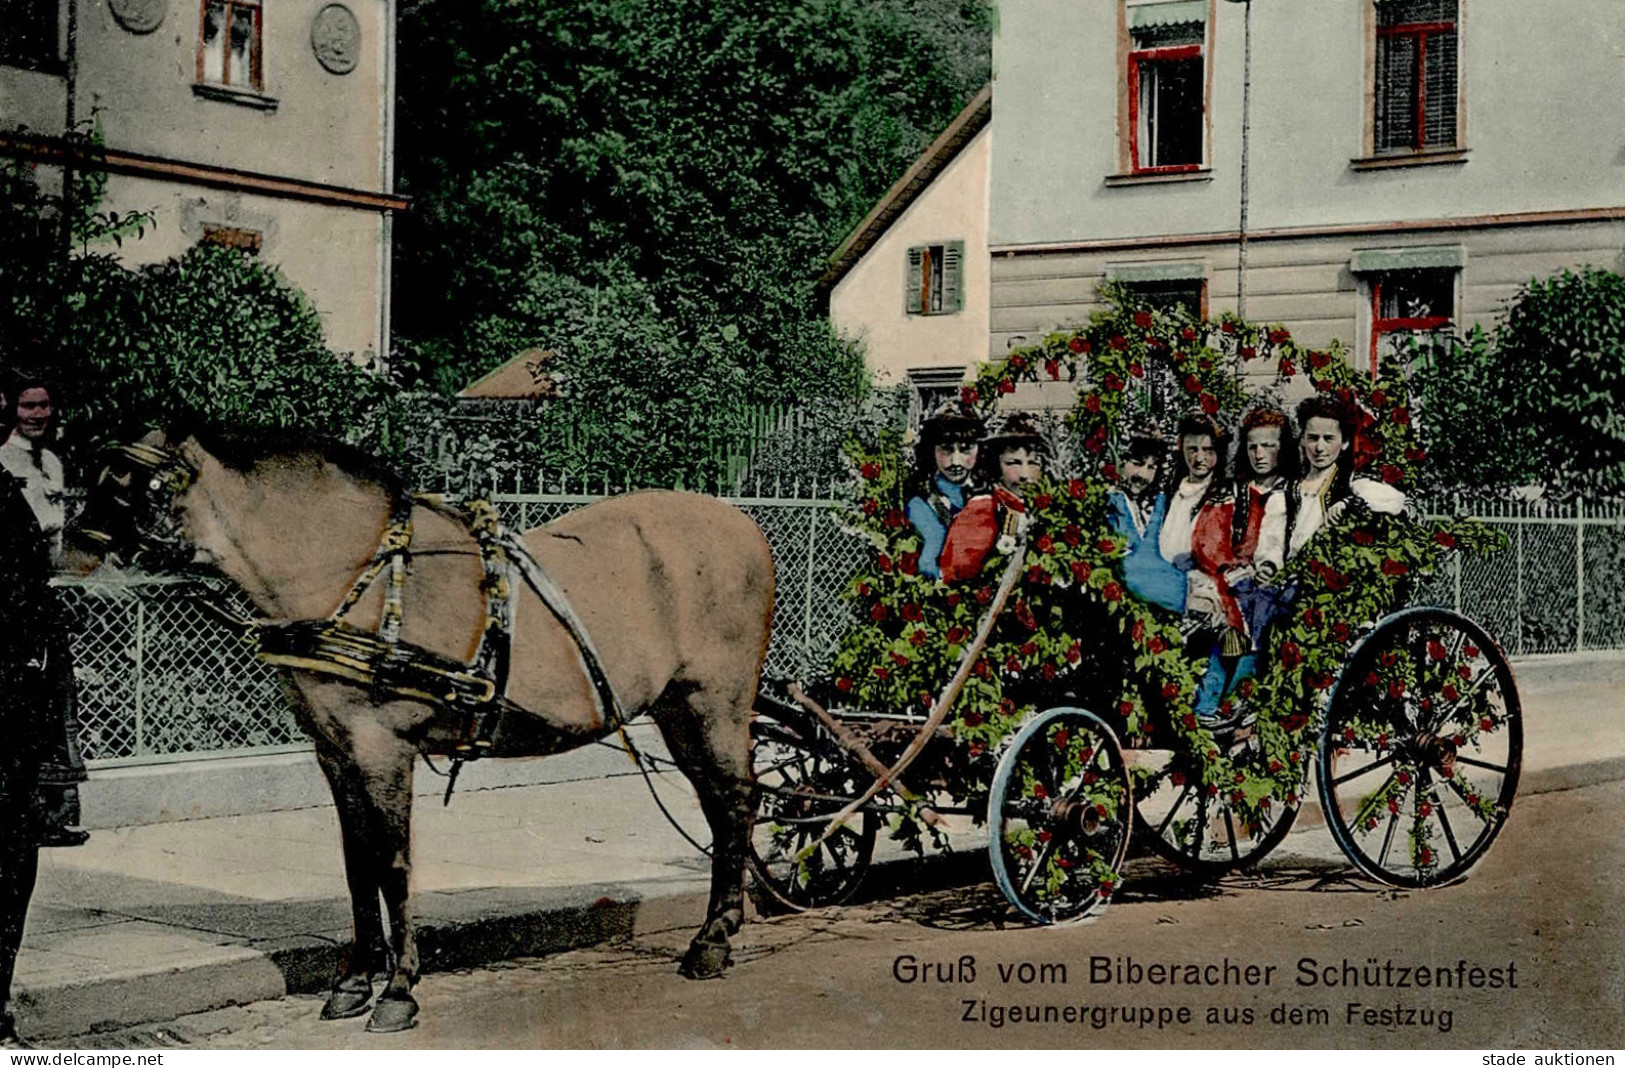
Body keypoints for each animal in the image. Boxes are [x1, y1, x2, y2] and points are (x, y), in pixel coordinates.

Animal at [76, 429, 780, 1027]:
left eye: (130, 487)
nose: (71, 558)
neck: (351, 570)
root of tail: (745, 524)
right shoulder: (336, 752)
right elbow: (356, 865)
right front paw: (354, 982)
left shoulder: (383, 749)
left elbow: (393, 863)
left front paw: (399, 988)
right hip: (677, 711)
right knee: (721, 810)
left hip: (714, 703)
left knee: (736, 804)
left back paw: (714, 940)